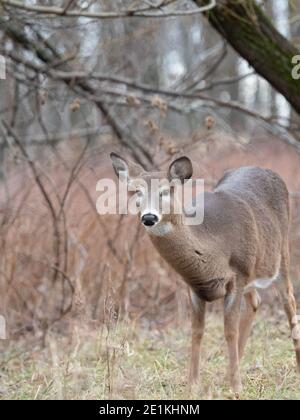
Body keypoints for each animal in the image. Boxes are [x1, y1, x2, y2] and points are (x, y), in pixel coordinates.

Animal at [110, 153, 300, 394]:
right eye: (136, 192)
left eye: (167, 190)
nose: (149, 218)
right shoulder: (194, 287)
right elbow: (196, 332)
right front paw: (192, 385)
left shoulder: (238, 274)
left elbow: (229, 331)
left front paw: (236, 387)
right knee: (256, 300)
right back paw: (229, 372)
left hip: (281, 254)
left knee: (289, 301)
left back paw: (295, 366)